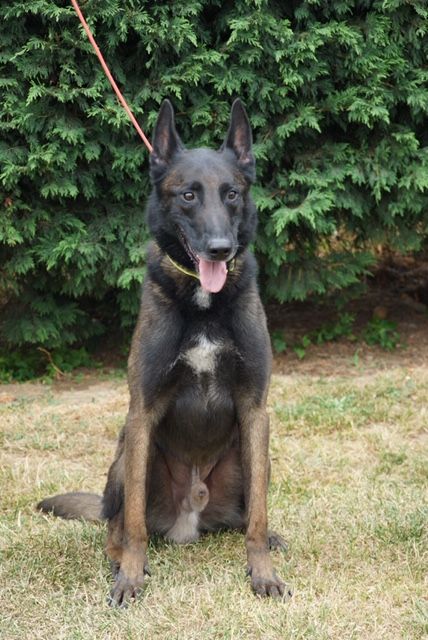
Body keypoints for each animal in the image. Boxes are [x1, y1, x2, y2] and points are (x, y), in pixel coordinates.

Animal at [38, 100, 290, 604]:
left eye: (232, 194)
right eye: (188, 195)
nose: (220, 248)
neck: (204, 304)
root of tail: (189, 521)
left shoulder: (256, 412)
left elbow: (258, 514)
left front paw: (262, 572)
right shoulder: (142, 413)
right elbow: (134, 521)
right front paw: (131, 577)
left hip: (253, 456)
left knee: (246, 513)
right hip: (126, 455)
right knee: (115, 523)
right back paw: (118, 558)